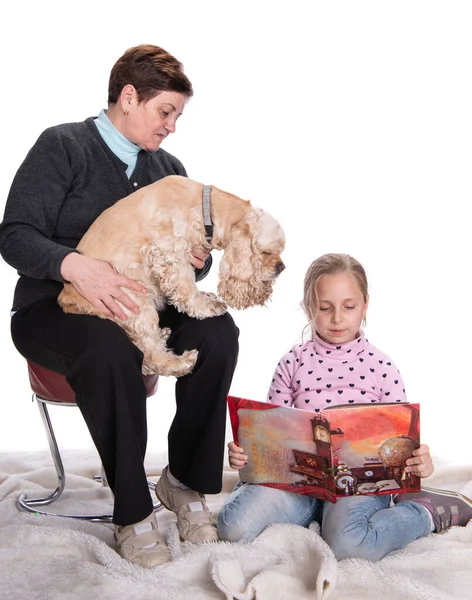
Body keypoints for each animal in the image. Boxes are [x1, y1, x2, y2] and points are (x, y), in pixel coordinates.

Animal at [58, 176, 284, 378]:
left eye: (281, 252)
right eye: (266, 252)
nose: (282, 267)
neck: (204, 208)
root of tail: (65, 299)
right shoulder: (170, 252)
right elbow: (186, 287)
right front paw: (205, 305)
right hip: (133, 298)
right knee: (149, 357)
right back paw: (182, 362)